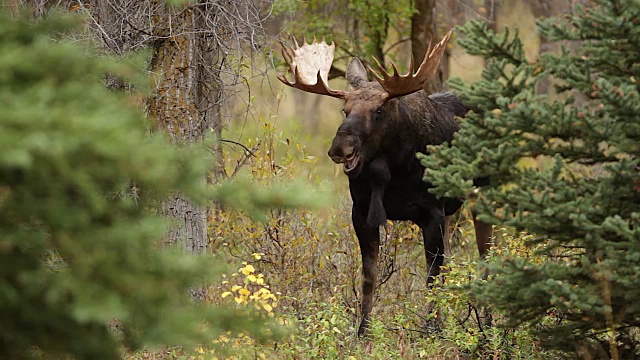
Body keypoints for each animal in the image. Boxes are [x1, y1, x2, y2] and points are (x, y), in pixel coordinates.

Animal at [278, 31, 492, 338]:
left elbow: (432, 275)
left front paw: (433, 329)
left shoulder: (431, 213)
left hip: (483, 193)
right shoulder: (361, 213)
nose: (340, 149)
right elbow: (369, 277)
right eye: (345, 110)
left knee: (485, 252)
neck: (392, 173)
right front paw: (362, 331)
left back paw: (488, 322)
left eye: (379, 110)